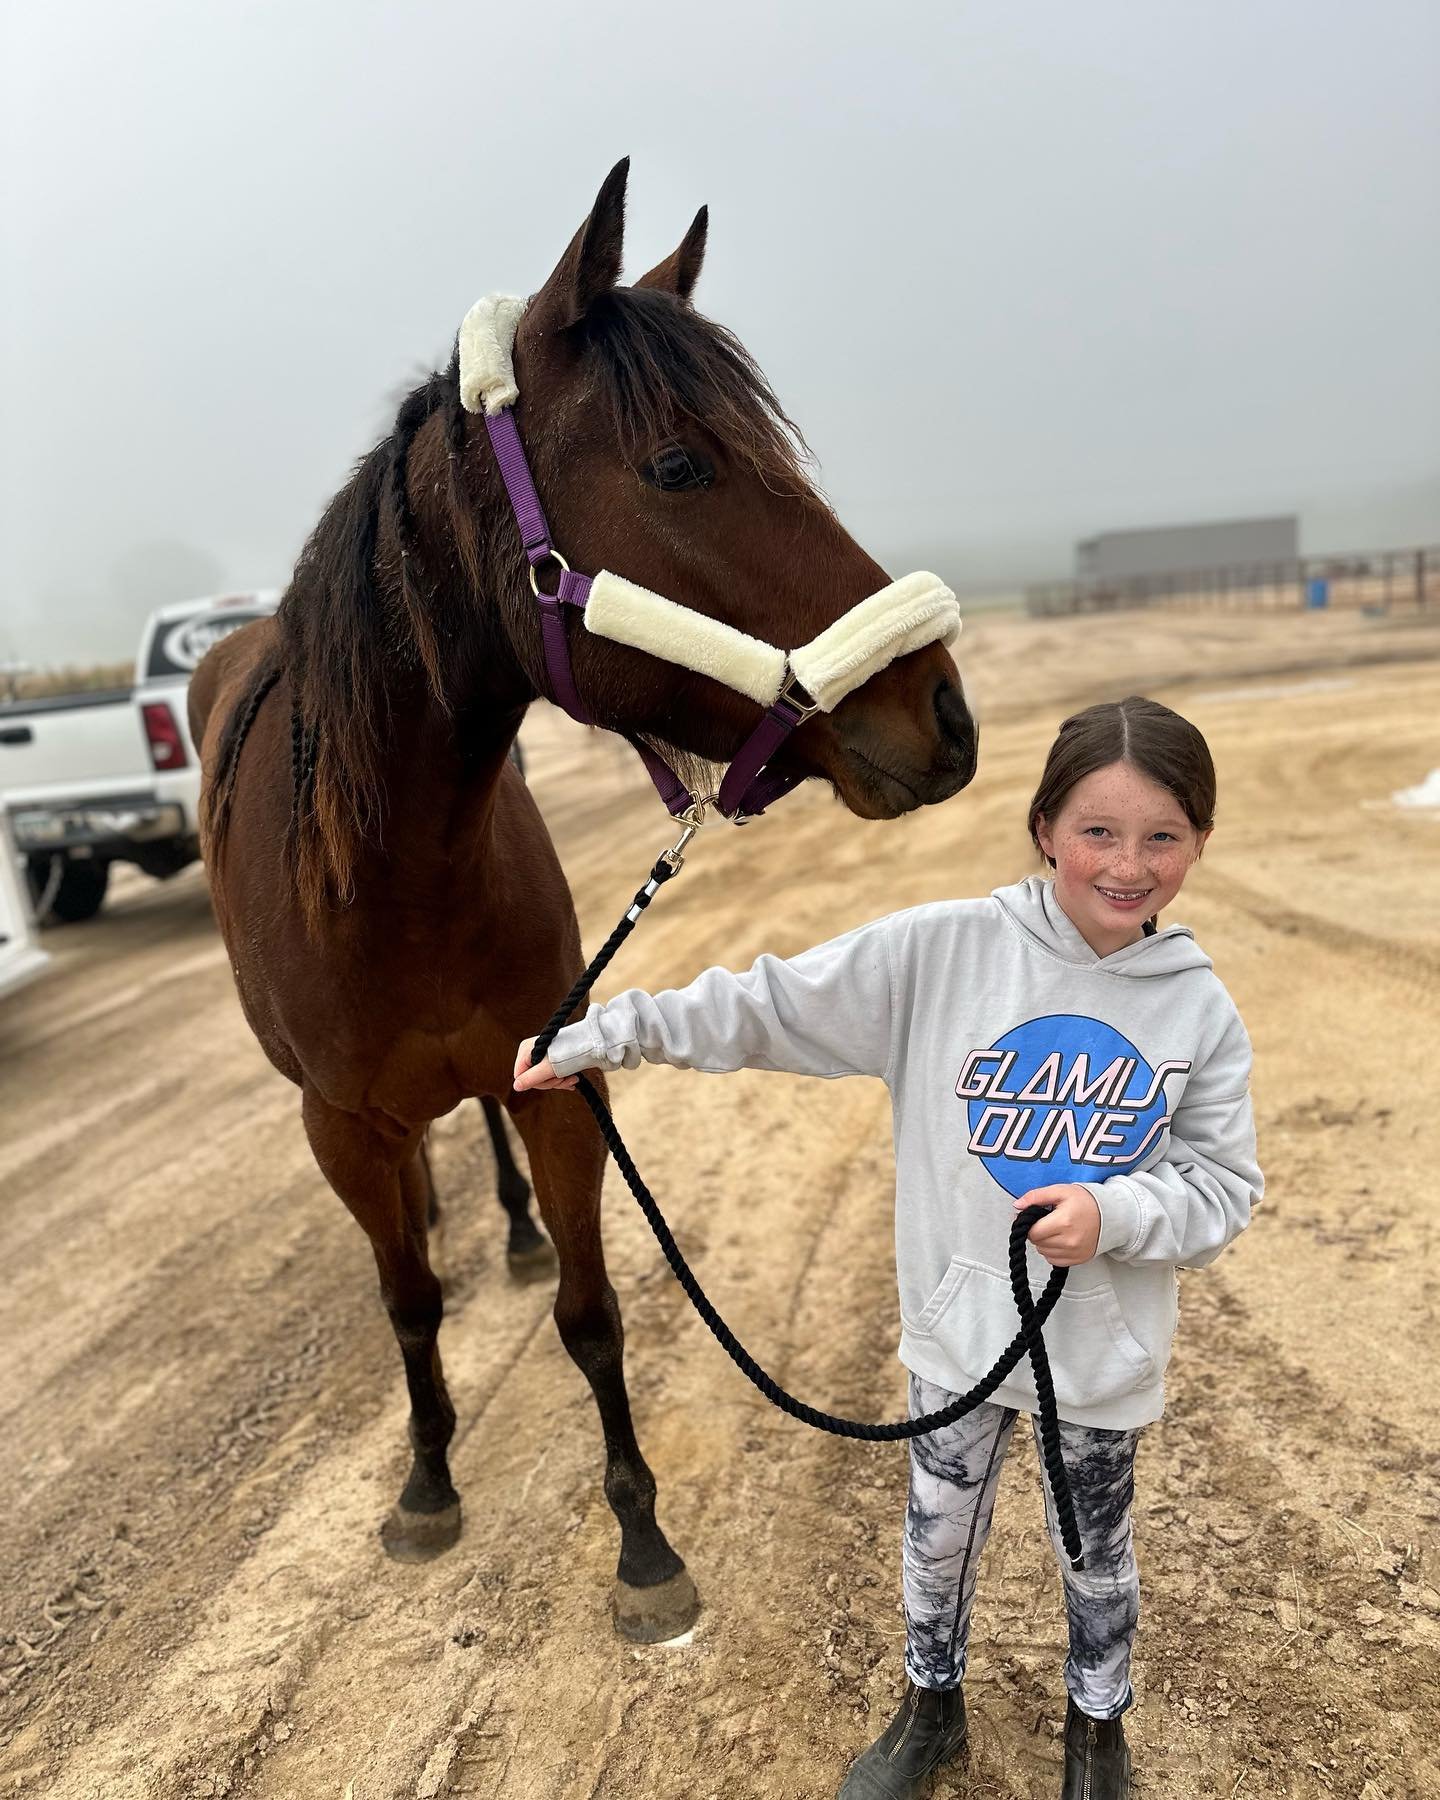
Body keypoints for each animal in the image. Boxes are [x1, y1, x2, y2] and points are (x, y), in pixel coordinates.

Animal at [190, 162, 979, 1641]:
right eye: (679, 464)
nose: (944, 713)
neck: (395, 873)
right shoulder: (343, 1129)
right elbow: (406, 1305)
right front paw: (427, 1482)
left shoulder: (559, 1078)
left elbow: (591, 1311)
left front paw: (643, 1542)